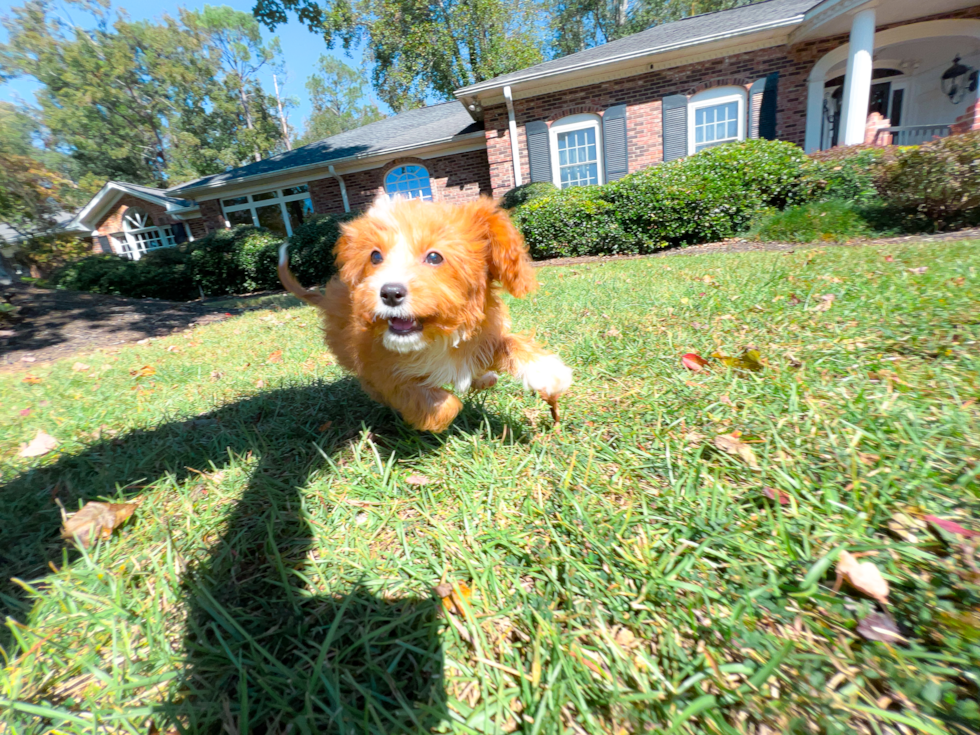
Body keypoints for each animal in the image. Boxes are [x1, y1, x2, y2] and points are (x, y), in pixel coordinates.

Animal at [278, 196, 576, 434]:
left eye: (434, 257)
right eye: (375, 257)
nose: (390, 293)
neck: (435, 337)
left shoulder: (481, 335)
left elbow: (507, 342)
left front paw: (546, 371)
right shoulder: (381, 371)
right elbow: (438, 401)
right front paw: (434, 415)